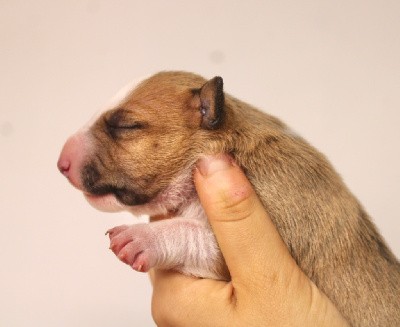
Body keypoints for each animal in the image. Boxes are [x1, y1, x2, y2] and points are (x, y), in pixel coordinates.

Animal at [57, 71, 400, 326]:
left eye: (125, 126)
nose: (61, 162)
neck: (227, 142)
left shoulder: (271, 216)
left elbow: (195, 235)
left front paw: (142, 237)